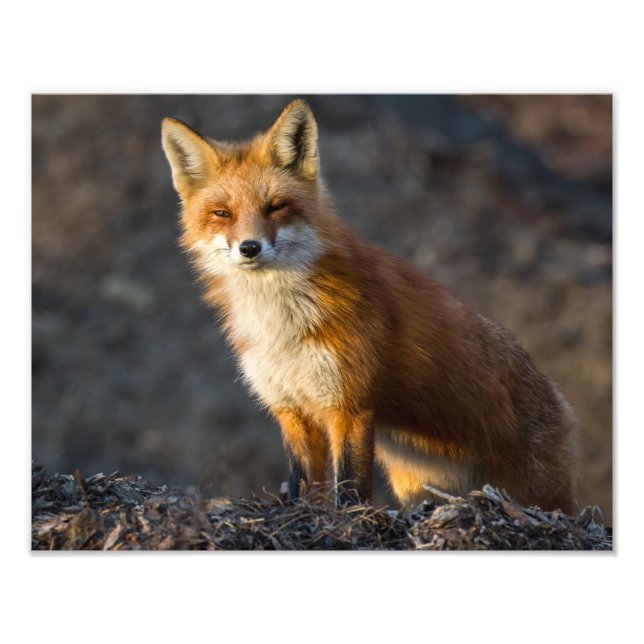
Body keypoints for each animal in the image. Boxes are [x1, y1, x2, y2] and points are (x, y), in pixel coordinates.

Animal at [161, 98, 579, 513]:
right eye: (222, 213)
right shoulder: (291, 409)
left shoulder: (350, 405)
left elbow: (350, 489)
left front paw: (349, 521)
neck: (282, 324)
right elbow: (302, 487)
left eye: (276, 207)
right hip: (417, 483)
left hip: (539, 493)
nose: (249, 248)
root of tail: (560, 400)